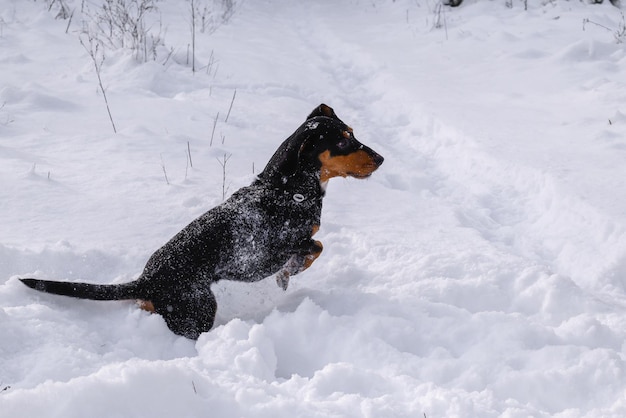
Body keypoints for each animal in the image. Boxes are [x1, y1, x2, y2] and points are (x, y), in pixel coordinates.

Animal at [20, 104, 380, 340]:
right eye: (343, 140)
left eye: (353, 134)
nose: (381, 158)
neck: (287, 190)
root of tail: (146, 280)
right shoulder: (277, 249)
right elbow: (315, 246)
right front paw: (288, 275)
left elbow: (316, 246)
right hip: (200, 308)